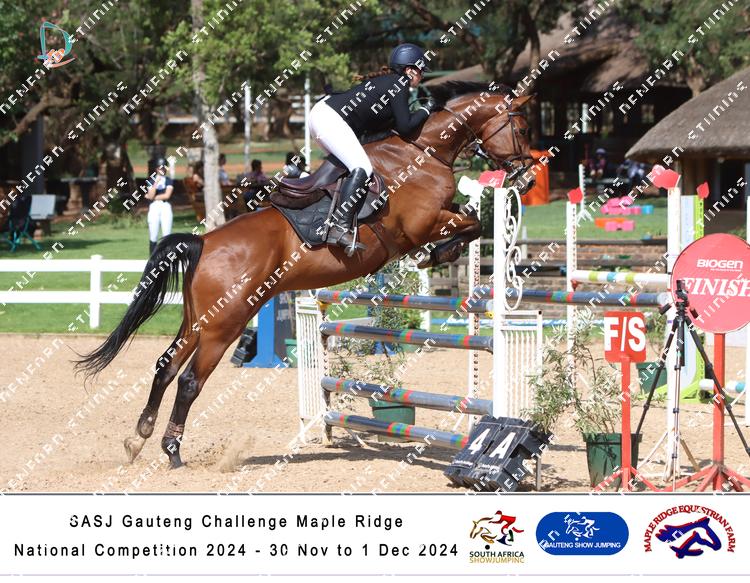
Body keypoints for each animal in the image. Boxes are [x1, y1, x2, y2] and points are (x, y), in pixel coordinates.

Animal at [76, 81, 534, 468]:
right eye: (521, 127)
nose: (527, 176)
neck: (423, 152)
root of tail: (202, 242)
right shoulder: (423, 224)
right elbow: (472, 222)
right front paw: (438, 254)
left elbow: (470, 218)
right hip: (226, 322)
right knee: (189, 380)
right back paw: (172, 451)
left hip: (198, 318)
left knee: (166, 366)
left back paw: (138, 438)